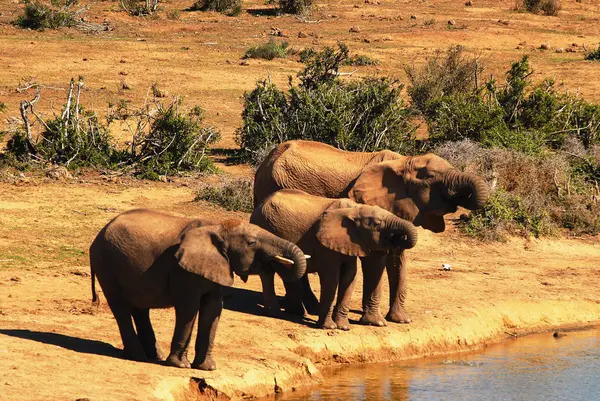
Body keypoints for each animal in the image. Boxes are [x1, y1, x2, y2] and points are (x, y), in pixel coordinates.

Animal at [89, 209, 310, 368]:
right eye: (252, 242)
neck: (218, 227)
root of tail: (98, 236)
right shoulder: (184, 271)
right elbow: (189, 309)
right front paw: (181, 365)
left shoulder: (217, 267)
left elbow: (213, 309)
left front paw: (207, 367)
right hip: (106, 265)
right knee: (121, 309)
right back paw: (138, 357)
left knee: (140, 309)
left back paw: (154, 356)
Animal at [248, 189, 418, 330]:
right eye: (377, 224)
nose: (399, 237)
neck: (355, 210)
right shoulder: (325, 245)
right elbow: (331, 278)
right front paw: (329, 327)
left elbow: (351, 276)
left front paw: (347, 326)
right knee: (270, 272)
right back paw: (289, 312)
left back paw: (297, 312)